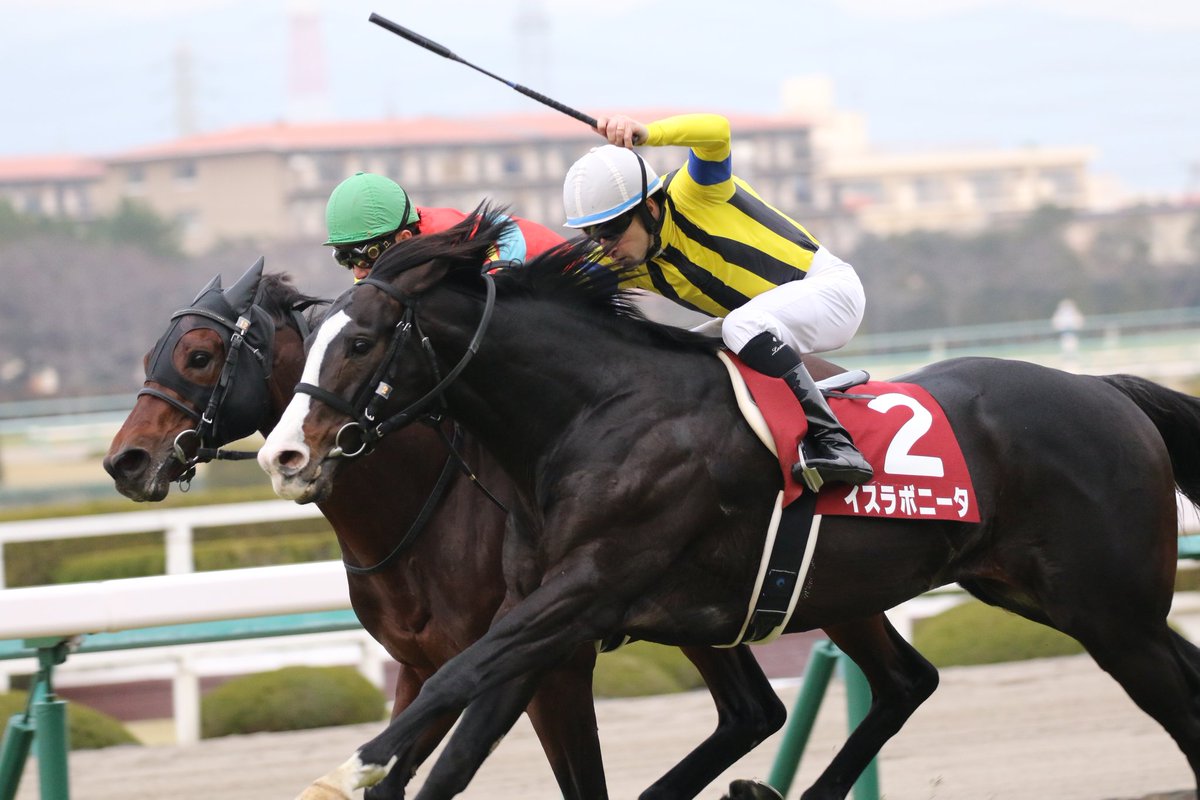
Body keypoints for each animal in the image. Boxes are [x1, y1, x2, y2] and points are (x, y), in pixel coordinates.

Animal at [103, 258, 826, 800]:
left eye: (199, 356)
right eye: (148, 355)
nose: (124, 461)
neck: (418, 507)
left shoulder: (554, 662)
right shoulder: (420, 666)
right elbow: (390, 774)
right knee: (752, 711)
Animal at [257, 208, 1200, 800]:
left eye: (363, 341)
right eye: (316, 336)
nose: (283, 454)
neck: (591, 413)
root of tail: (1107, 390)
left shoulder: (588, 589)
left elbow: (457, 683)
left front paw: (346, 771)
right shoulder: (544, 610)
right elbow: (463, 720)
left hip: (1108, 611)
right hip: (1031, 595)